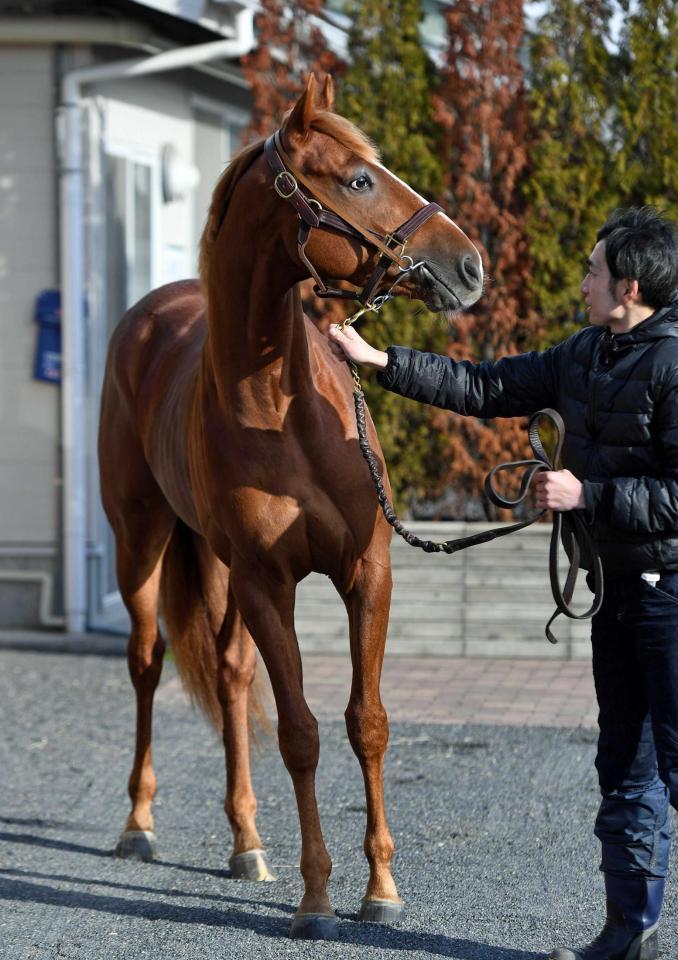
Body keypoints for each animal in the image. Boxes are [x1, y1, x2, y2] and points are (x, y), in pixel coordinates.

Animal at [99, 77, 484, 936]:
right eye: (359, 179)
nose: (470, 263)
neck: (277, 408)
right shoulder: (269, 585)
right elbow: (302, 732)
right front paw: (317, 897)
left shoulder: (365, 573)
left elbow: (366, 723)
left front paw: (381, 889)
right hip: (141, 543)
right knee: (146, 663)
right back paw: (137, 824)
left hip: (216, 565)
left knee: (230, 675)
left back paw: (247, 842)